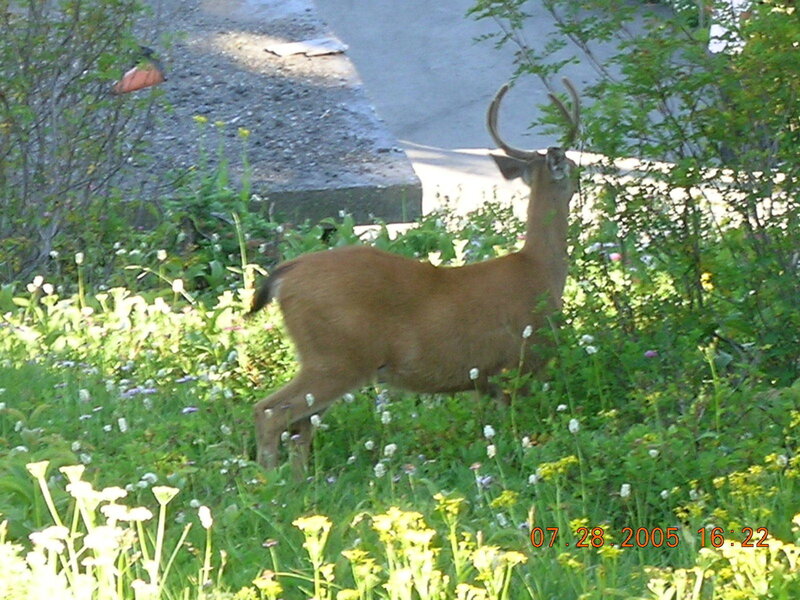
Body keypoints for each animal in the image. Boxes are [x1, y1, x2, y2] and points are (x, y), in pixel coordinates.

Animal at [248, 79, 580, 471]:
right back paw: (268, 479)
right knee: (270, 413)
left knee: (300, 427)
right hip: (336, 357)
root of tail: (287, 272)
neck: (538, 269)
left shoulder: (488, 380)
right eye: (575, 167)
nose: (580, 182)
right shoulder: (525, 360)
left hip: (326, 359)